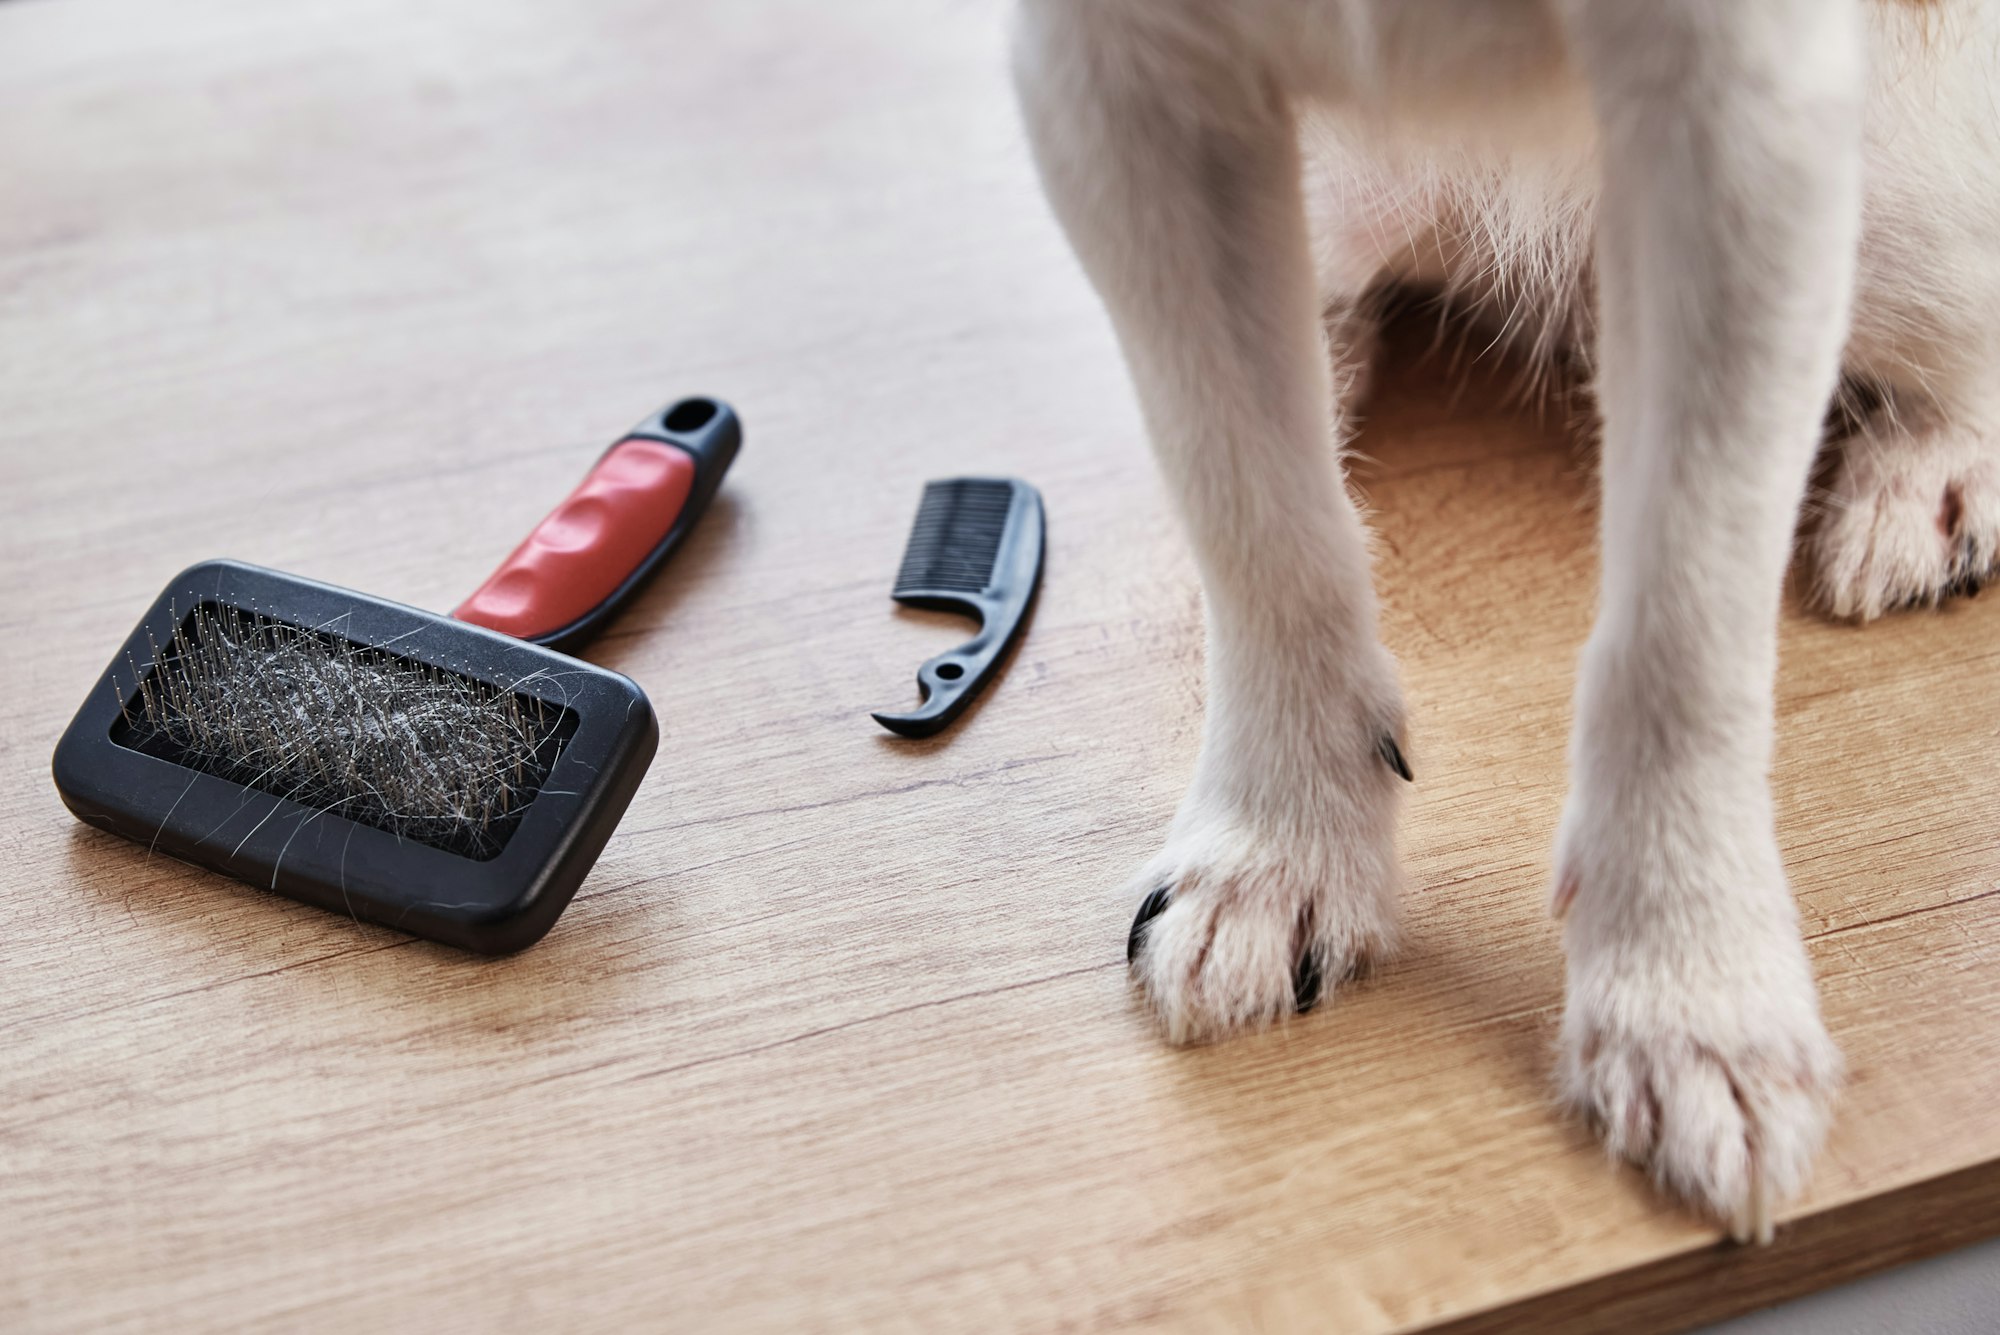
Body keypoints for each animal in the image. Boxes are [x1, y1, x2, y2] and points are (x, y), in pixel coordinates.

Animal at [1016, 0, 2000, 1239]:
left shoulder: (1746, 114)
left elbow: (1685, 611)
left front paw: (1689, 984)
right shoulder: (1117, 80)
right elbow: (1250, 504)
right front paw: (1278, 846)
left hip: (1904, 217)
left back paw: (1934, 468)